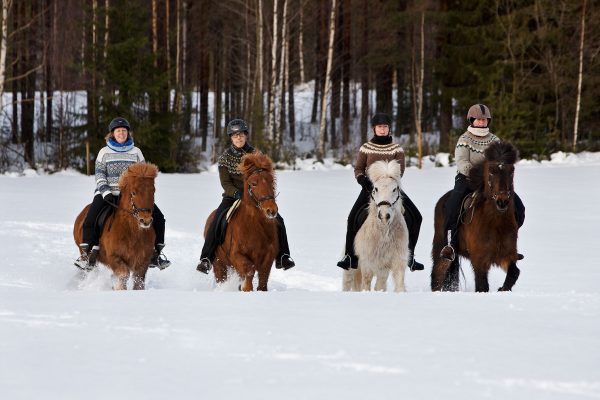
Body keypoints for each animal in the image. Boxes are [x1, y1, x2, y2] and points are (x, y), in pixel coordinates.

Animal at [72, 162, 158, 290]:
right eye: (133, 192)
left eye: (153, 191)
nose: (145, 221)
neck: (131, 232)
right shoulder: (114, 258)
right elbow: (123, 275)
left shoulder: (143, 263)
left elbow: (138, 283)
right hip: (84, 254)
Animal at [204, 152, 278, 290]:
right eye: (253, 183)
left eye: (271, 181)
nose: (271, 210)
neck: (254, 226)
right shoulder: (237, 256)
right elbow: (249, 271)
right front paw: (246, 288)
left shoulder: (268, 258)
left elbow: (263, 281)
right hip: (219, 264)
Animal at [344, 160, 410, 294]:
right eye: (375, 188)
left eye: (394, 189)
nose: (384, 215)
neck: (384, 232)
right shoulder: (367, 262)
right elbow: (366, 282)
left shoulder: (397, 260)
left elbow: (399, 282)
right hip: (351, 267)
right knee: (348, 281)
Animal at [432, 142, 520, 292]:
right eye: (491, 171)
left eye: (512, 170)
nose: (502, 201)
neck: (495, 223)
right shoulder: (479, 260)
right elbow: (482, 286)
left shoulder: (507, 254)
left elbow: (514, 272)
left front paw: (502, 289)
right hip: (441, 249)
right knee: (437, 275)